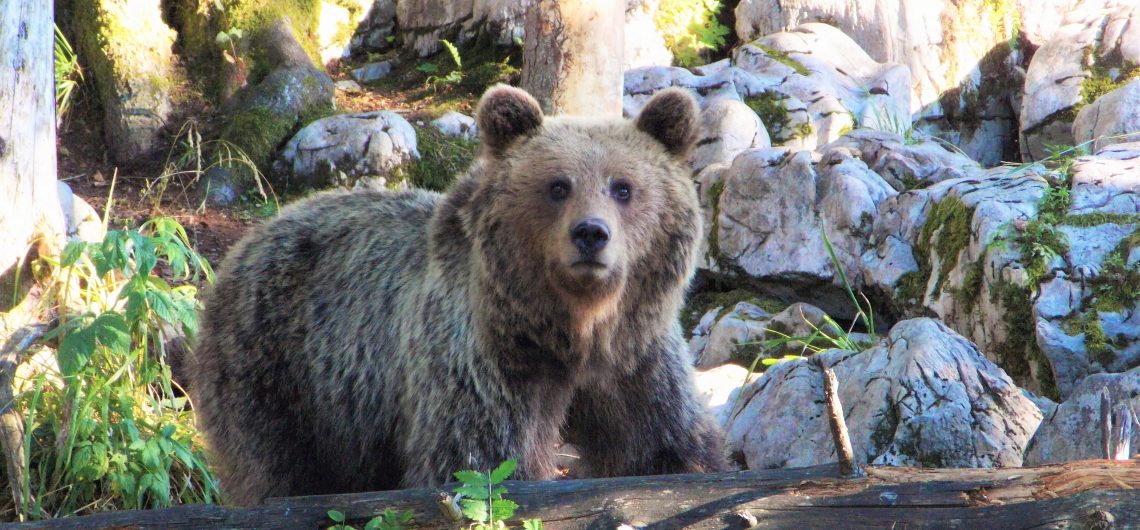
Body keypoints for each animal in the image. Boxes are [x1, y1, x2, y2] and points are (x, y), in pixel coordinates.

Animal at [185, 83, 720, 503]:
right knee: (277, 466)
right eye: (558, 186)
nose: (591, 234)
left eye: (623, 187)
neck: (572, 327)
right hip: (280, 366)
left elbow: (663, 442)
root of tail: (250, 239)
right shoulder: (483, 359)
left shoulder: (636, 355)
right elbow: (479, 461)